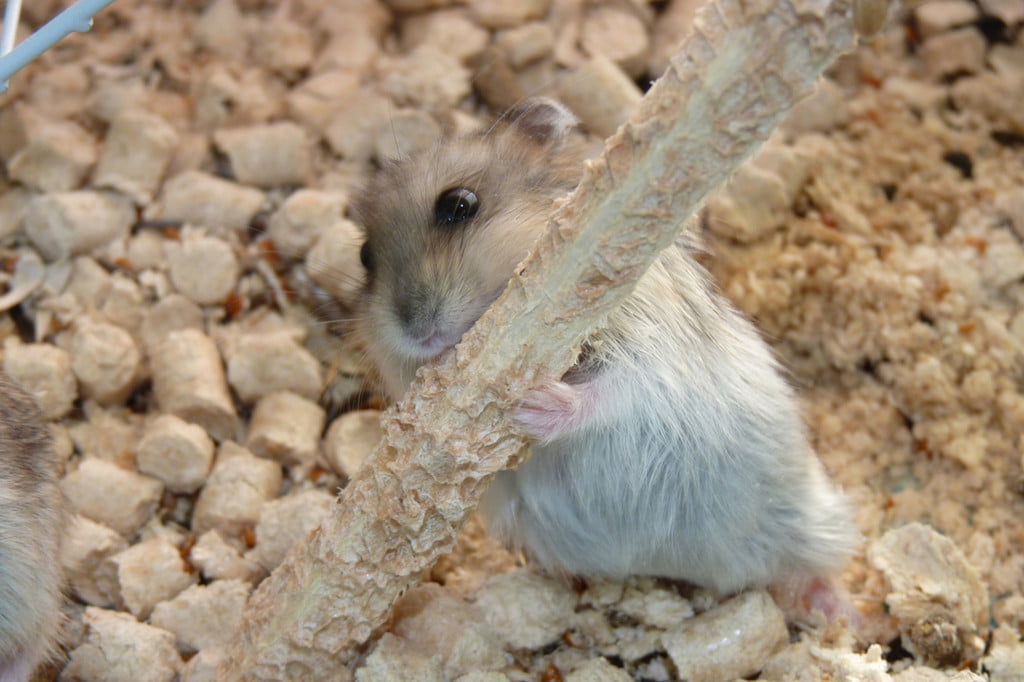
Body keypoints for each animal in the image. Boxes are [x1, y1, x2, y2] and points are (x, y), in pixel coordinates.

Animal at [351, 98, 856, 596]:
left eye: (459, 204)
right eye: (365, 257)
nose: (416, 330)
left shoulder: (649, 352)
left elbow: (612, 390)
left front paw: (530, 406)